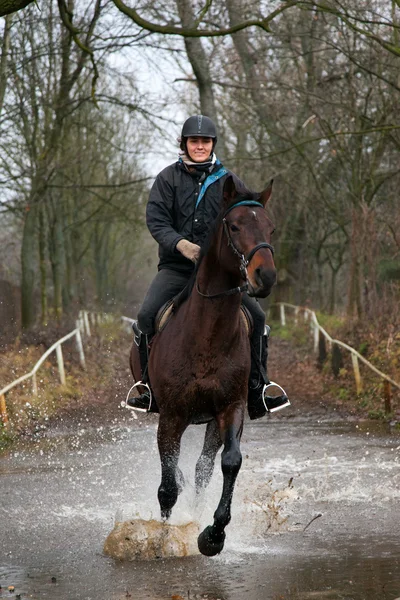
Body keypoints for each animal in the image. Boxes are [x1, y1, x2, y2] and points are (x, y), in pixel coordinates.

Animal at [130, 176, 276, 556]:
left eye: (270, 227)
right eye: (234, 226)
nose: (265, 276)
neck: (207, 335)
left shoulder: (230, 407)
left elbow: (230, 462)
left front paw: (212, 535)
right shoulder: (171, 416)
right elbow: (167, 486)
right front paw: (163, 539)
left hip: (211, 420)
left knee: (202, 469)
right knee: (177, 476)